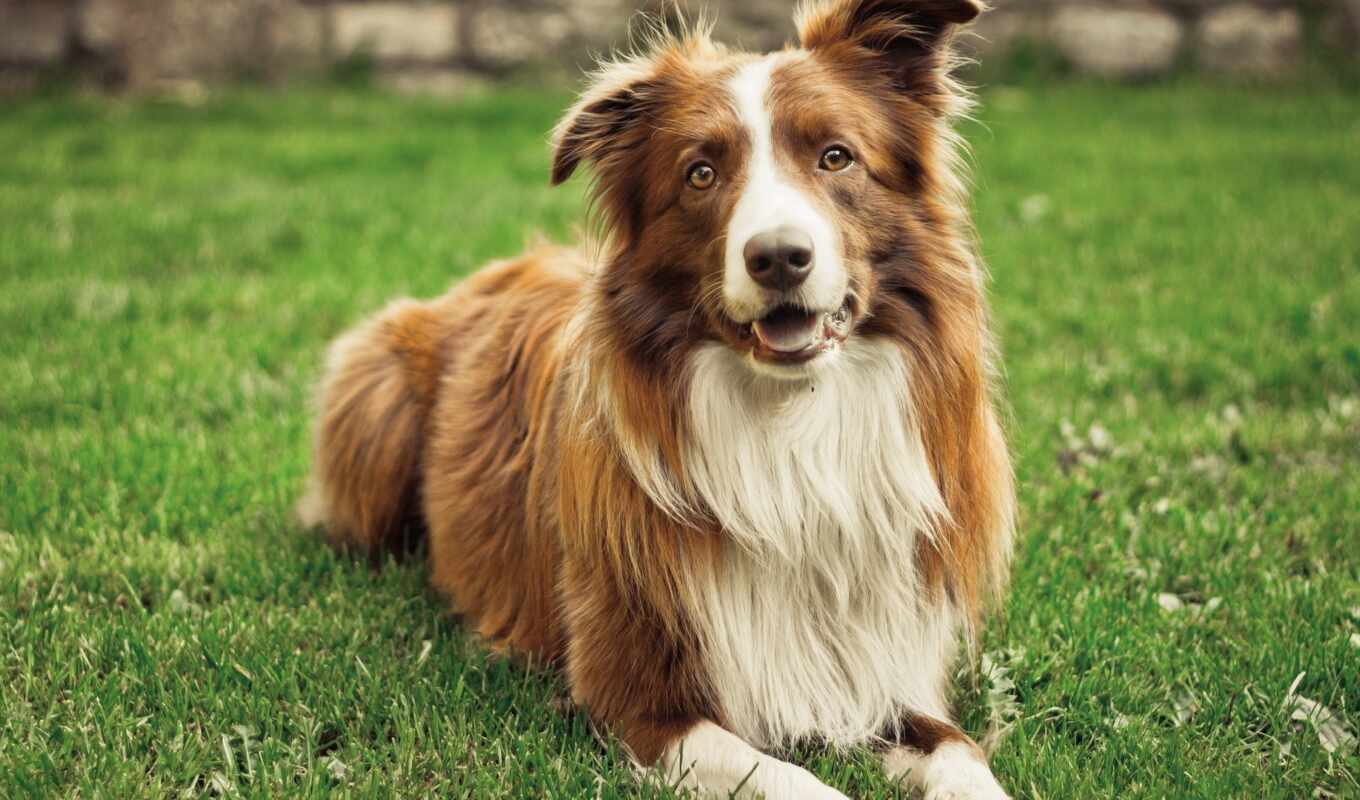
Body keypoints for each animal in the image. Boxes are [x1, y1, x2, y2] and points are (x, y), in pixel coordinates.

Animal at [303, 3, 1017, 794]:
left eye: (836, 157)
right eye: (700, 174)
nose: (778, 257)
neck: (790, 429)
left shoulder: (888, 672)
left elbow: (962, 756)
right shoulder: (638, 697)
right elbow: (794, 779)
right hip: (377, 403)